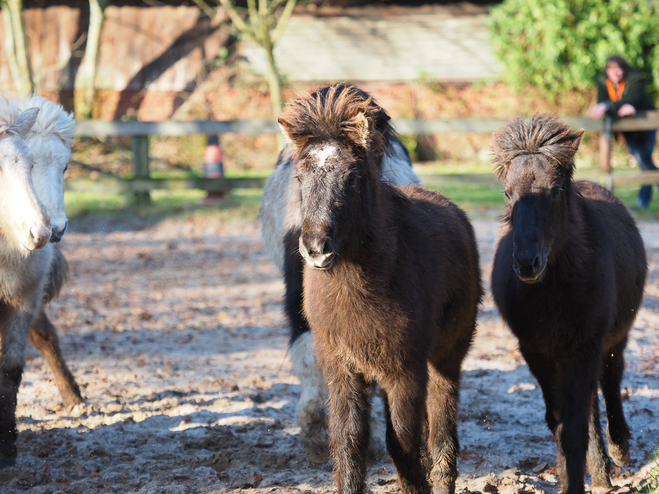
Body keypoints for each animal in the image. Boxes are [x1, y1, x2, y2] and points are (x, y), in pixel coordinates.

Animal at [276, 85, 482, 494]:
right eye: (300, 178)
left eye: (353, 177)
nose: (316, 248)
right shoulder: (341, 368)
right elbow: (349, 439)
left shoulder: (403, 369)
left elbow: (400, 440)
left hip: (447, 353)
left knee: (441, 421)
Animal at [492, 116, 648, 494]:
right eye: (507, 193)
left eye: (555, 191)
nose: (526, 263)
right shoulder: (536, 350)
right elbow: (561, 422)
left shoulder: (584, 345)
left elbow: (575, 427)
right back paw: (602, 472)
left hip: (612, 339)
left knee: (610, 379)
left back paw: (619, 449)